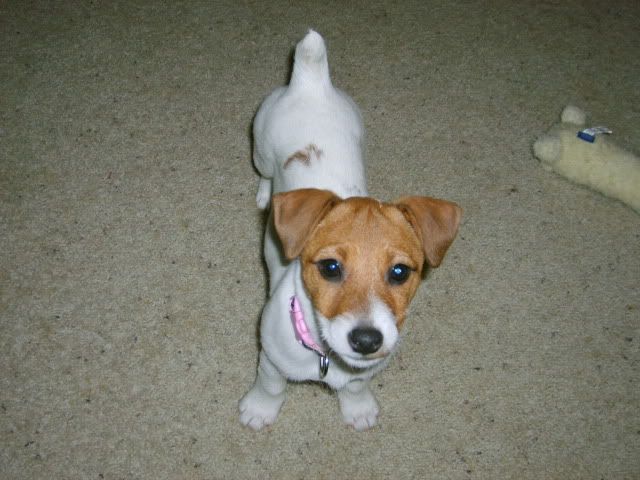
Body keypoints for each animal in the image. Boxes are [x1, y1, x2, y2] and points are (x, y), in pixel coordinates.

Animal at [240, 30, 460, 432]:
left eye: (400, 272)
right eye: (330, 267)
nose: (367, 340)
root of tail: (311, 83)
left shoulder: (364, 371)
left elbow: (356, 387)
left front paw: (357, 408)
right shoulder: (271, 359)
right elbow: (271, 386)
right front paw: (259, 409)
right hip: (260, 149)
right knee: (264, 172)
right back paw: (266, 195)